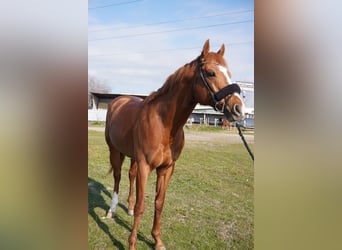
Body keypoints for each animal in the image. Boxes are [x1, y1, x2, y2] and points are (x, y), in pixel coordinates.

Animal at [105, 40, 244, 249]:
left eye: (229, 73)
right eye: (211, 73)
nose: (238, 109)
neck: (164, 125)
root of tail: (119, 100)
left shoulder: (167, 168)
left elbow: (159, 202)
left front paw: (157, 240)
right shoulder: (146, 166)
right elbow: (141, 205)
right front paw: (132, 244)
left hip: (133, 157)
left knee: (130, 175)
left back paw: (127, 208)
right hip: (115, 151)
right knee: (117, 177)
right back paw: (111, 210)